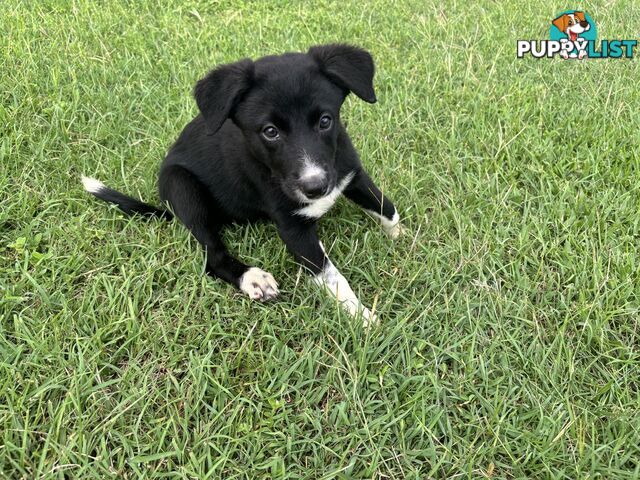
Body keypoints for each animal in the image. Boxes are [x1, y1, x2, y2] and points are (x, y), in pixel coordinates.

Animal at [81, 44, 400, 326]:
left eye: (325, 121)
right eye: (270, 132)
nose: (316, 188)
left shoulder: (351, 174)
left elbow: (387, 208)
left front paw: (403, 238)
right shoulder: (292, 226)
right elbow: (331, 276)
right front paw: (362, 318)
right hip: (182, 188)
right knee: (212, 257)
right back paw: (253, 278)